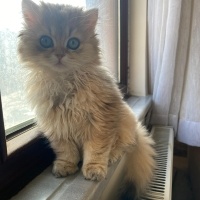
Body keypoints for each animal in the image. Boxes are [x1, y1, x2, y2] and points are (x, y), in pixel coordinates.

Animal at [18, 0, 156, 198]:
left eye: (73, 43)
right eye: (45, 41)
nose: (59, 54)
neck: (65, 82)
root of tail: (137, 130)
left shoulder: (101, 122)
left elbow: (96, 150)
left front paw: (94, 169)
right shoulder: (57, 125)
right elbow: (66, 151)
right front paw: (66, 166)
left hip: (124, 123)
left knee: (122, 145)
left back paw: (112, 156)